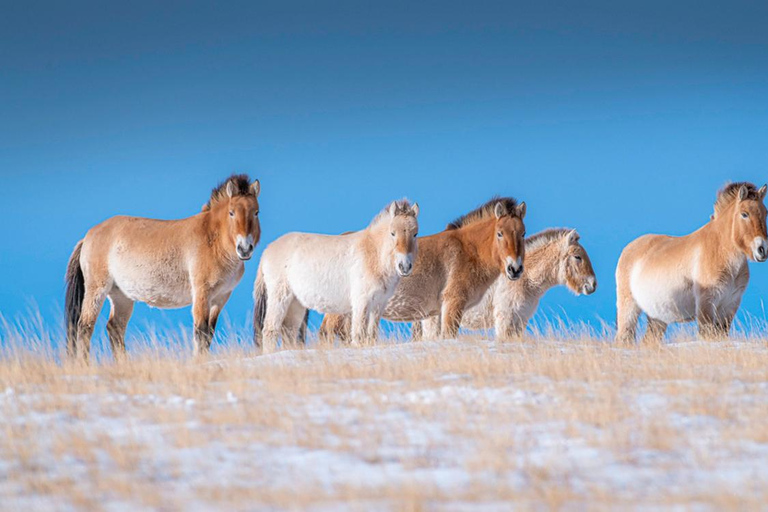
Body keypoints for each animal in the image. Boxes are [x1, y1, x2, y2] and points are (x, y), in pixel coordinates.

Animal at [64, 176, 260, 360]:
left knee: (115, 328)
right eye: (231, 213)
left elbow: (208, 335)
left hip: (121, 296)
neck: (214, 239)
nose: (244, 248)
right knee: (85, 327)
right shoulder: (202, 294)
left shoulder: (221, 298)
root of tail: (89, 235)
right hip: (97, 289)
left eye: (256, 212)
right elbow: (200, 332)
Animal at [252, 200, 420, 352]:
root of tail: (267, 250)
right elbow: (358, 335)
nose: (404, 266)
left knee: (288, 332)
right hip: (279, 297)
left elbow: (371, 336)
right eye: (392, 233)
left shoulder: (378, 305)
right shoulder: (361, 302)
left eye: (415, 234)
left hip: (295, 303)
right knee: (270, 329)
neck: (373, 252)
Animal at [616, 181, 768, 344]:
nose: (762, 249)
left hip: (657, 317)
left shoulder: (729, 306)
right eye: (744, 214)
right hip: (629, 309)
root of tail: (627, 249)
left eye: (765, 213)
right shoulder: (706, 304)